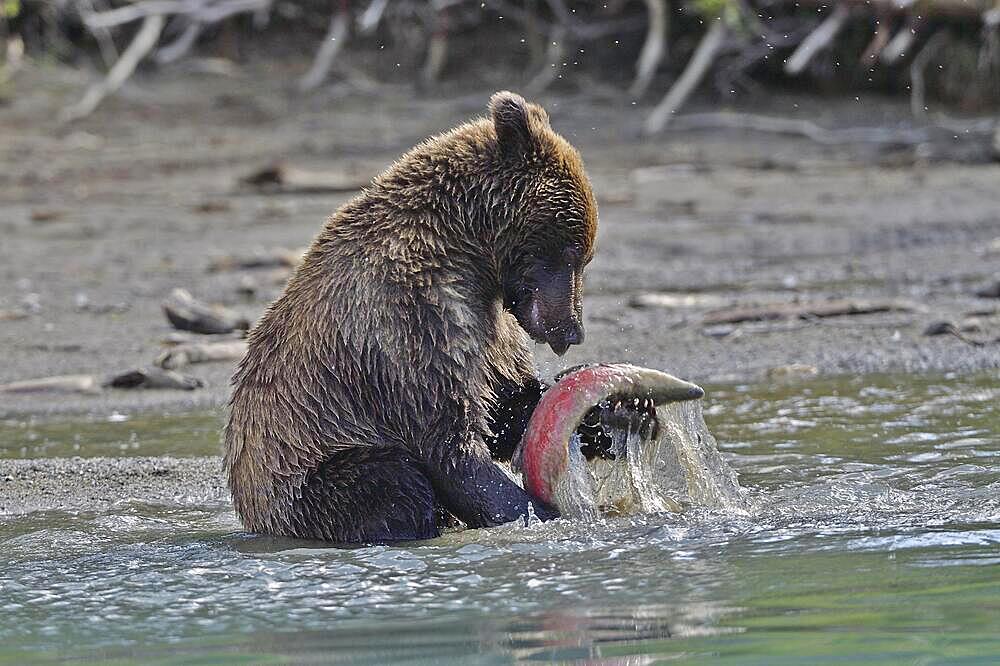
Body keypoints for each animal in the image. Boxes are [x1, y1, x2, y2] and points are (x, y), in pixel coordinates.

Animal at [224, 91, 596, 544]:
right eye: (572, 252)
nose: (572, 330)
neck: (468, 252)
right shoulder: (412, 320)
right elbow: (449, 441)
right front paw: (539, 512)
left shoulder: (489, 325)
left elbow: (504, 403)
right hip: (303, 470)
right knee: (391, 482)